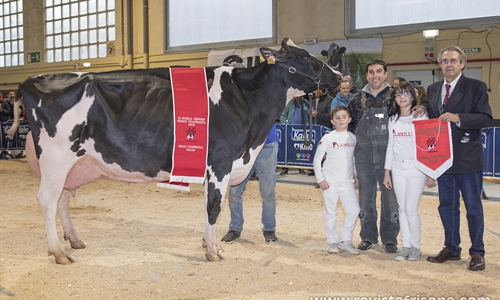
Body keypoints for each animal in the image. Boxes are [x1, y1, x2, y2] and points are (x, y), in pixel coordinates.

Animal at [13, 37, 342, 262]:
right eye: (304, 57)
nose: (340, 77)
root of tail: (32, 79)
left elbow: (210, 207)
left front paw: (210, 244)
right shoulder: (220, 163)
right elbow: (214, 207)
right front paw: (213, 252)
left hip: (73, 165)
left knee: (62, 200)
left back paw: (74, 240)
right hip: (56, 157)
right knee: (47, 200)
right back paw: (59, 252)